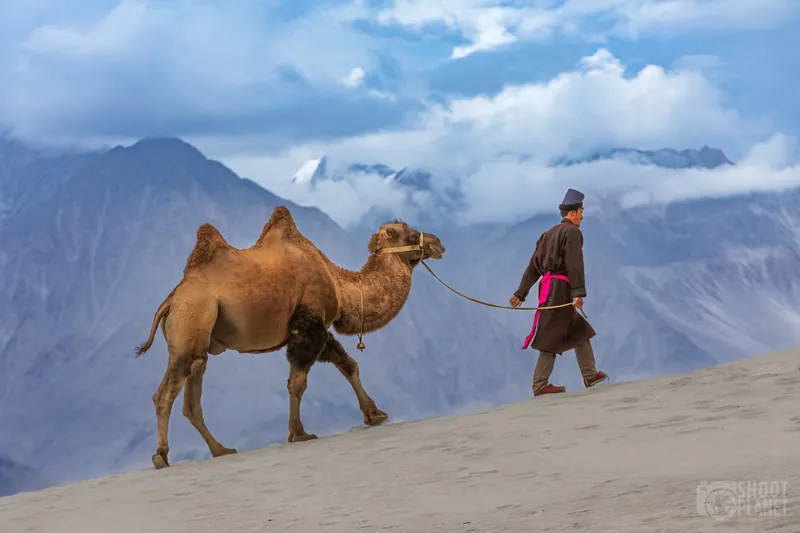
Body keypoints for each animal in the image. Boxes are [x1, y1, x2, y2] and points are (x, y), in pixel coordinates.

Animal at [132, 206, 444, 468]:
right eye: (412, 234)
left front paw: (374, 414)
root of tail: (171, 300)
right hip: (192, 321)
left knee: (192, 396)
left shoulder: (317, 328)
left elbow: (347, 364)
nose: (438, 243)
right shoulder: (309, 323)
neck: (339, 283)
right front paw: (299, 433)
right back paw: (161, 457)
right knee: (165, 393)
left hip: (198, 341)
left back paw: (221, 450)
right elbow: (298, 382)